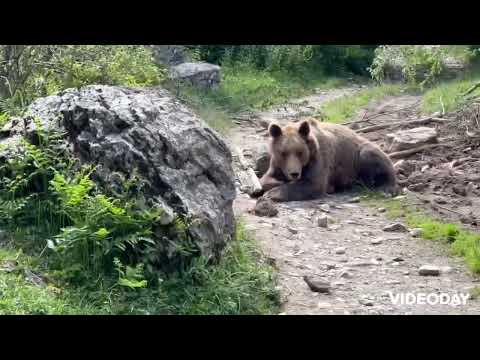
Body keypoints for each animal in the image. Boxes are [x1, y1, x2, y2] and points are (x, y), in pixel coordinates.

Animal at [258, 119, 398, 201]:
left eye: (300, 152)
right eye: (284, 153)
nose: (294, 173)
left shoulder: (319, 158)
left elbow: (314, 184)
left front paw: (272, 194)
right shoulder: (277, 164)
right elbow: (266, 179)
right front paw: (274, 184)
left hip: (358, 155)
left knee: (372, 158)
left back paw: (384, 187)